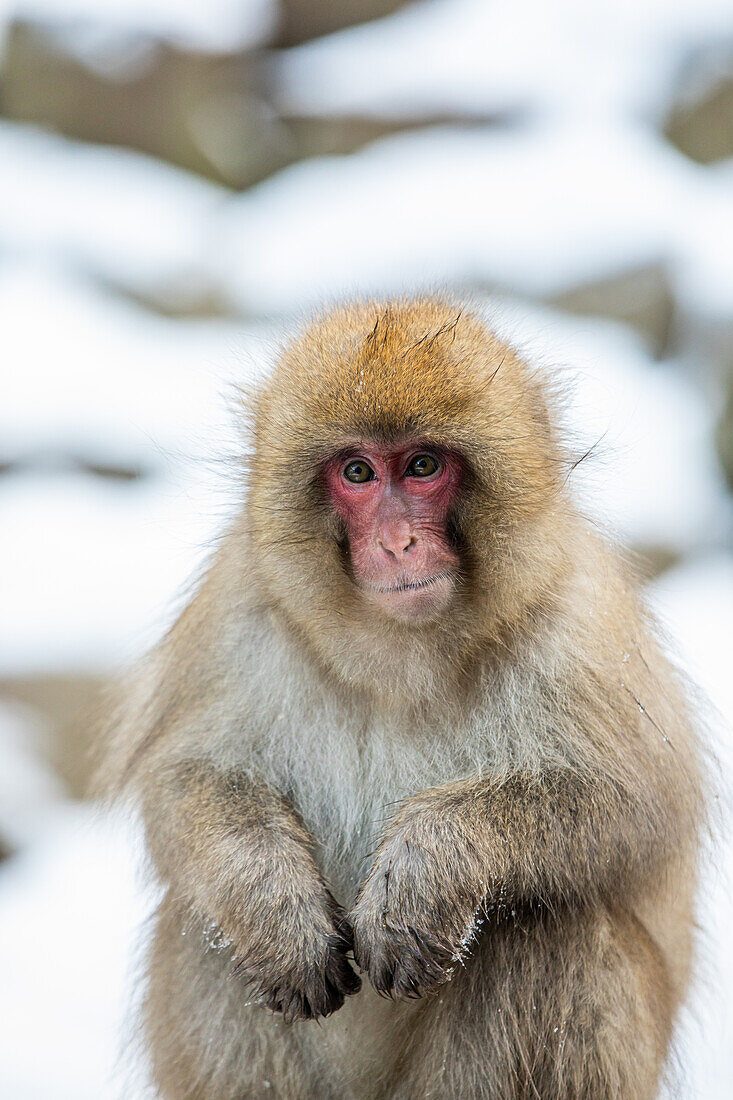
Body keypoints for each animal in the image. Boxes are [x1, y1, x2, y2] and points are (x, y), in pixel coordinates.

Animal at [101, 299, 704, 1100]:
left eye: (422, 466)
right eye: (357, 472)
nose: (395, 544)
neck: (401, 658)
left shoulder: (576, 627)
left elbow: (634, 805)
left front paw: (427, 865)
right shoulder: (237, 613)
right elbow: (184, 780)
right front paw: (274, 906)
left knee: (550, 927)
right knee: (206, 930)